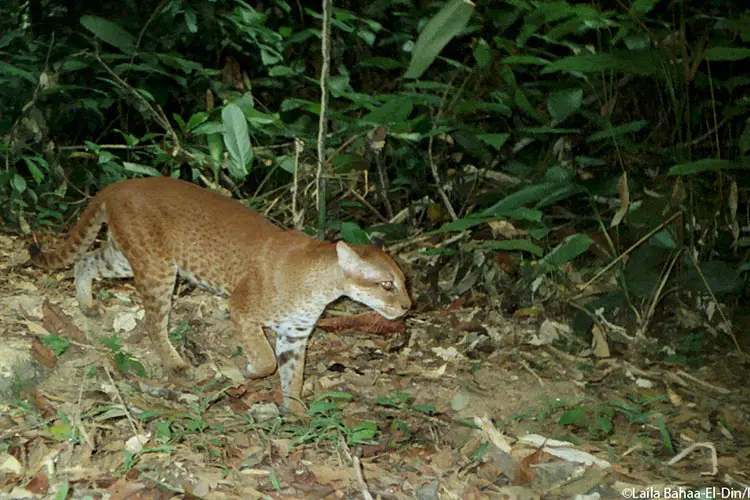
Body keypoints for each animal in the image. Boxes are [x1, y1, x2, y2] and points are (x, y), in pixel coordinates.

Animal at [30, 178, 412, 412]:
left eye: (404, 281)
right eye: (386, 285)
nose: (409, 306)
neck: (321, 286)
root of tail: (121, 183)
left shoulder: (295, 334)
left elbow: (293, 375)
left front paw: (297, 414)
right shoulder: (242, 309)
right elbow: (266, 360)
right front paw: (247, 372)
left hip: (125, 256)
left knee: (86, 261)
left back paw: (87, 305)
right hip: (156, 268)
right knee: (154, 322)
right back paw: (176, 364)